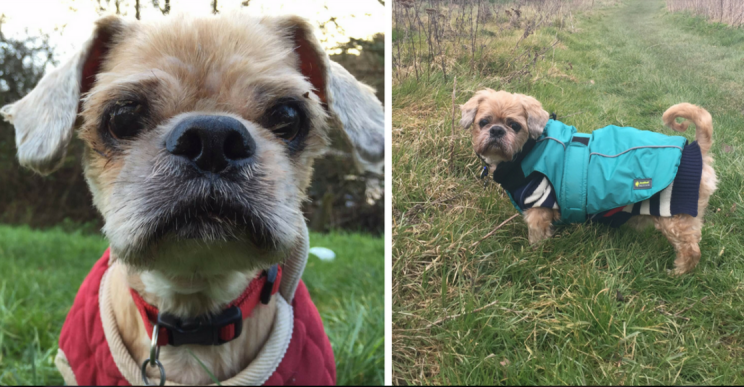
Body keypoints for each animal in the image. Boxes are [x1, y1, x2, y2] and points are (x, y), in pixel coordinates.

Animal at [462, 89, 716, 274]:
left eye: (514, 125)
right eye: (483, 122)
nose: (496, 130)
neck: (528, 151)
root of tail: (697, 149)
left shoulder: (539, 207)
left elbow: (536, 237)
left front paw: (532, 256)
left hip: (672, 214)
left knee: (691, 250)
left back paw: (678, 273)